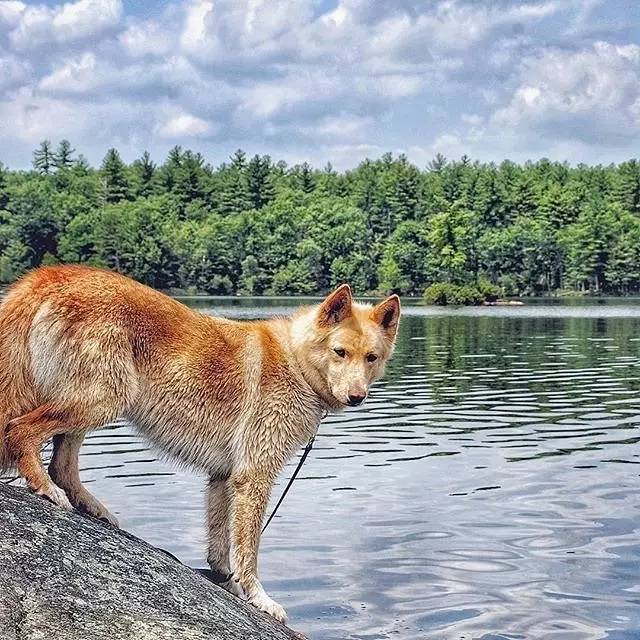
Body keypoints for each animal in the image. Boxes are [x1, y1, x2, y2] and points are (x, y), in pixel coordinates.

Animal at [0, 264, 400, 620]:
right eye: (339, 352)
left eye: (371, 358)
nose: (357, 397)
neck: (296, 363)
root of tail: (51, 275)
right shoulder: (254, 477)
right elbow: (249, 550)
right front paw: (260, 598)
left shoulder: (224, 477)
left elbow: (221, 545)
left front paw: (229, 584)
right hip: (101, 397)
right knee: (20, 430)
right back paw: (45, 488)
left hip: (93, 400)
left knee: (63, 464)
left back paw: (91, 507)